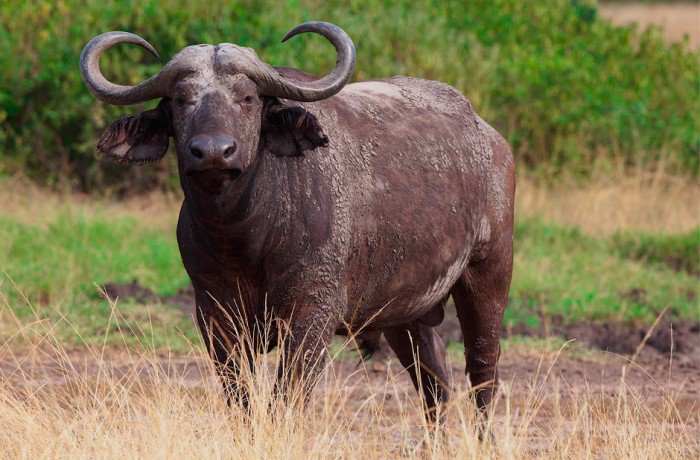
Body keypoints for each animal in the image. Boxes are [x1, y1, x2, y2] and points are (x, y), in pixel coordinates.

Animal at [80, 22, 515, 423]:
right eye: (181, 100)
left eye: (248, 97)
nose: (213, 152)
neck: (245, 236)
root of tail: (493, 140)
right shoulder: (215, 315)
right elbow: (241, 400)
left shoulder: (312, 314)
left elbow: (285, 399)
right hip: (404, 309)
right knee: (433, 377)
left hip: (489, 274)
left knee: (482, 371)